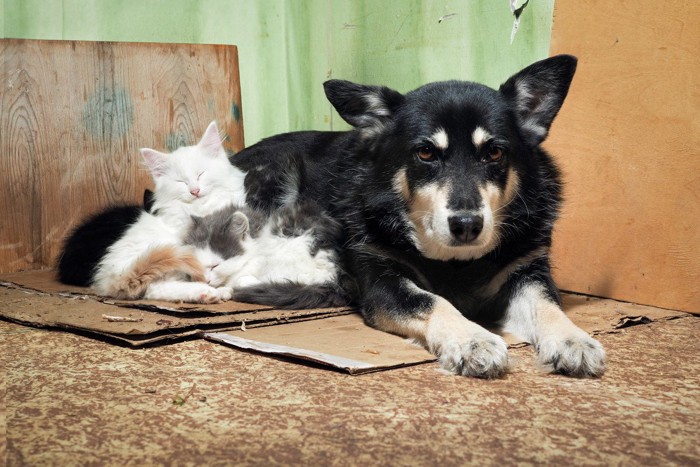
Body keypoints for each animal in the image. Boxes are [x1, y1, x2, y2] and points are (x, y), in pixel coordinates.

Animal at [232, 54, 604, 378]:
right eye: (425, 152)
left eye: (495, 152)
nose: (467, 225)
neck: (457, 262)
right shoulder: (382, 281)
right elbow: (431, 300)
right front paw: (472, 339)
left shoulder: (528, 270)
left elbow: (547, 305)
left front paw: (573, 339)